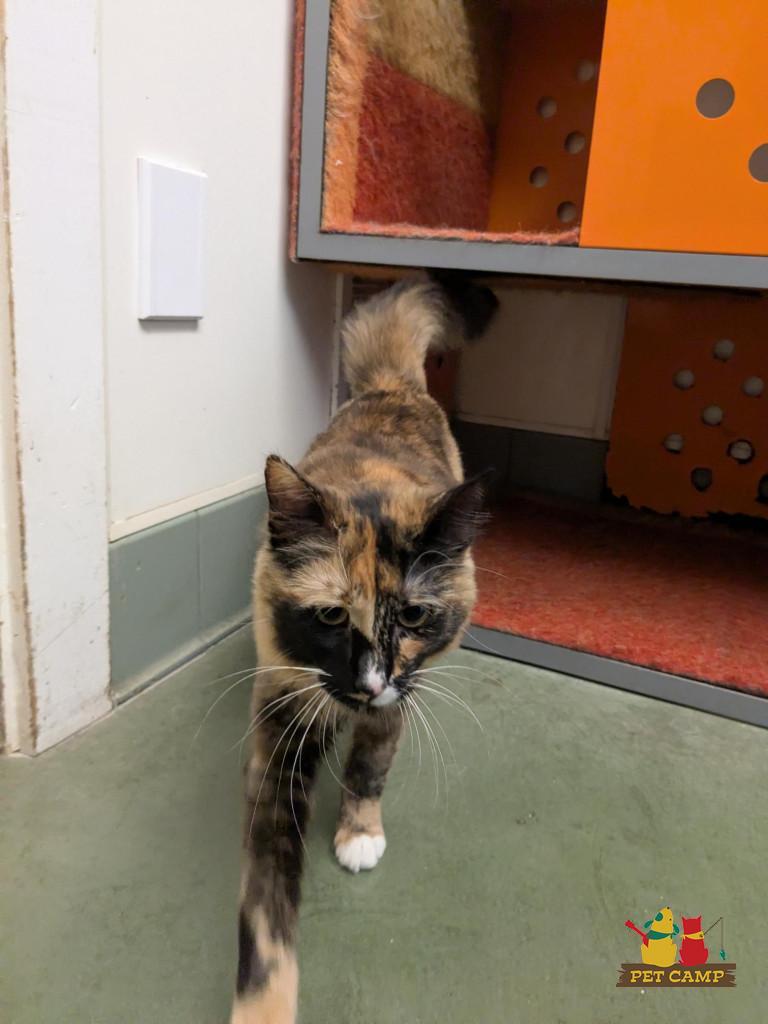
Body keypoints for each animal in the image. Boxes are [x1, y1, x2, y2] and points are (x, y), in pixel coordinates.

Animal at [230, 275, 497, 1024]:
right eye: (328, 615)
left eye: (412, 615)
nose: (369, 682)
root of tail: (389, 386)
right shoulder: (281, 716)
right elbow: (266, 904)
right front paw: (262, 1004)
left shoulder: (401, 696)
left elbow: (369, 768)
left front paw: (358, 835)